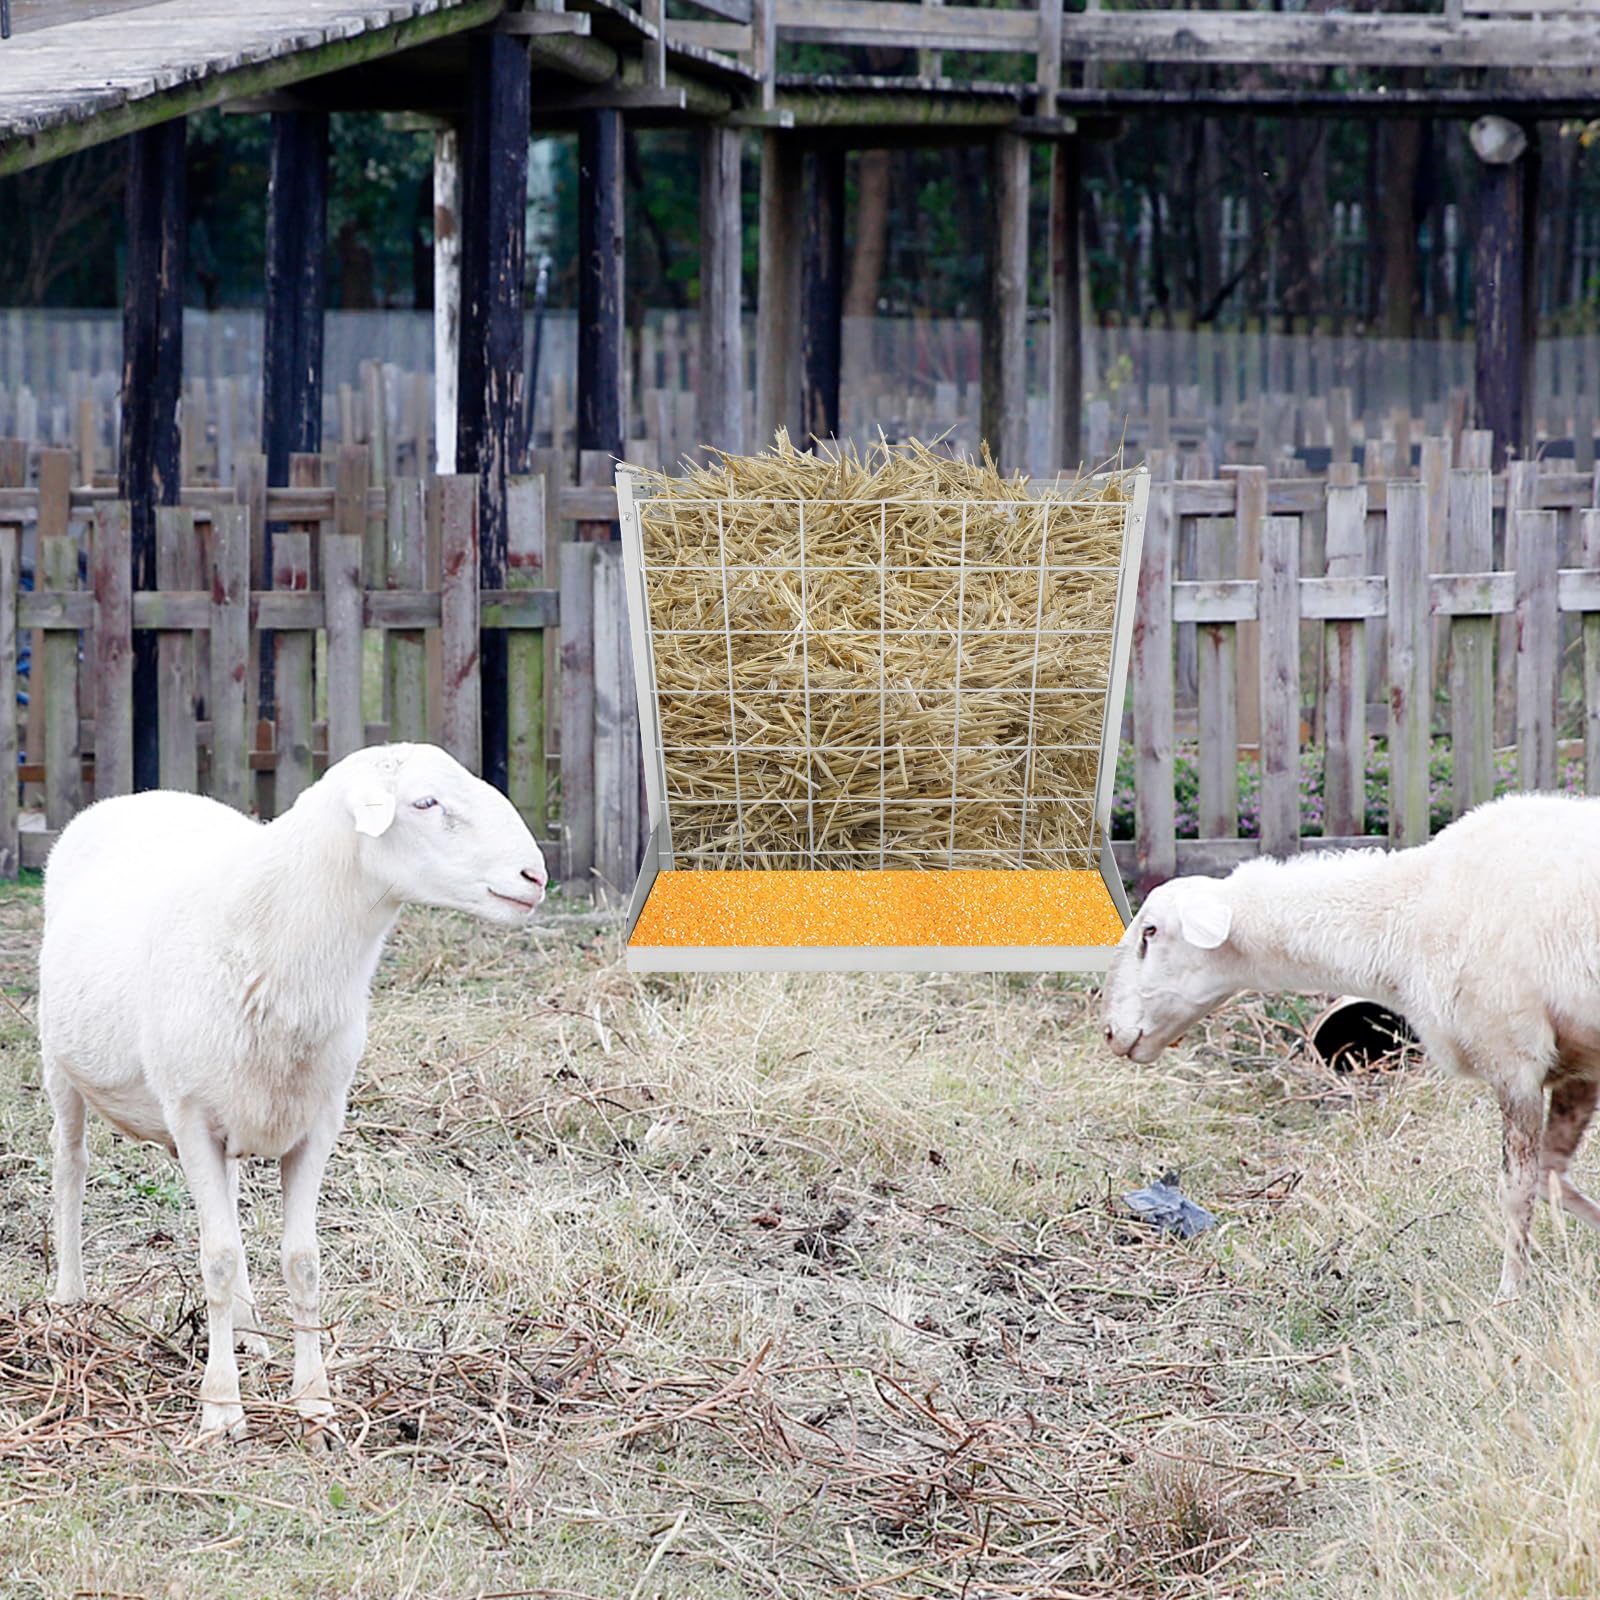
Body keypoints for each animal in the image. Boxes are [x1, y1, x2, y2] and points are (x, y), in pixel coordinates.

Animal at [38, 741, 547, 1440]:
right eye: (424, 802)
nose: (535, 876)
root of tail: (139, 795)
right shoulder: (191, 1116)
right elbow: (218, 1258)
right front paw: (222, 1407)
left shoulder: (317, 1122)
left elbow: (301, 1262)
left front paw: (315, 1403)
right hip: (62, 1064)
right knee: (71, 1166)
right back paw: (69, 1300)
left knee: (224, 1201)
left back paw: (250, 1331)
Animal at [1100, 792, 1600, 1299]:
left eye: (1150, 932)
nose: (1110, 1032)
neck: (1407, 909)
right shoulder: (1576, 1066)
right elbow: (1551, 1178)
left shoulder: (1514, 1059)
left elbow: (1518, 1189)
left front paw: (1509, 1293)